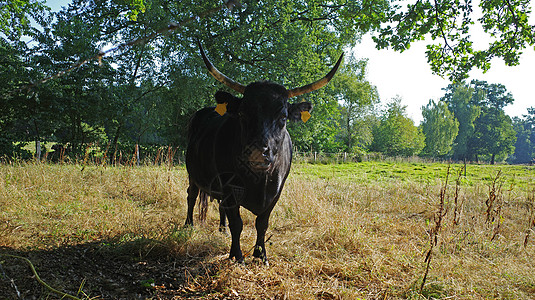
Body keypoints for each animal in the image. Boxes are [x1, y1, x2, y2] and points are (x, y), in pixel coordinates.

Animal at [184, 42, 344, 264]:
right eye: (242, 114)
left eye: (283, 117)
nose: (257, 153)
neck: (258, 180)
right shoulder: (229, 186)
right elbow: (237, 223)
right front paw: (237, 256)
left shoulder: (276, 190)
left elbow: (262, 223)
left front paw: (261, 255)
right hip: (192, 174)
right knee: (191, 195)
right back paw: (188, 225)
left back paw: (221, 229)